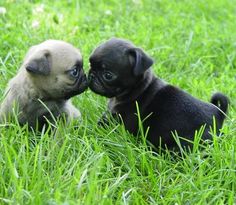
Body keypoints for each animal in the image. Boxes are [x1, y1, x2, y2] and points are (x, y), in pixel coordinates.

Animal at [88, 38, 229, 151]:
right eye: (90, 64)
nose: (91, 75)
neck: (138, 89)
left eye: (108, 75)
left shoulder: (123, 121)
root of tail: (219, 113)